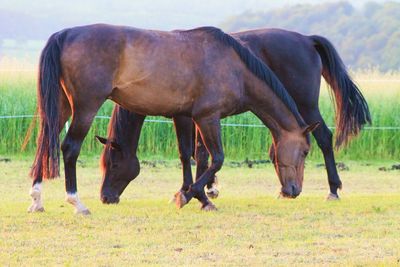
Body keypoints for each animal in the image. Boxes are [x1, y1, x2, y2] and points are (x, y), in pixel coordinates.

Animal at [97, 28, 372, 205]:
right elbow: (200, 152)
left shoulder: (185, 116)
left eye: (114, 164)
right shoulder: (198, 116)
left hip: (306, 106)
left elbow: (190, 153)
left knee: (324, 137)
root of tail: (307, 39)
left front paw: (193, 191)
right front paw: (205, 188)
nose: (106, 198)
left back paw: (333, 189)